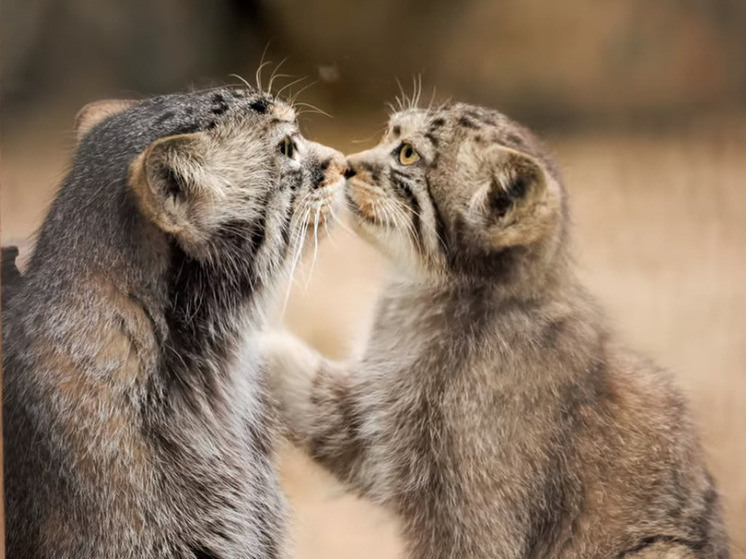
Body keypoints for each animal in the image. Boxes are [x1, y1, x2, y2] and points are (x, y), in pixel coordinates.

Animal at [266, 101, 728, 559]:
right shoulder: (373, 429)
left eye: (408, 154)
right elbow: (311, 393)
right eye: (388, 135)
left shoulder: (472, 516)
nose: (345, 164)